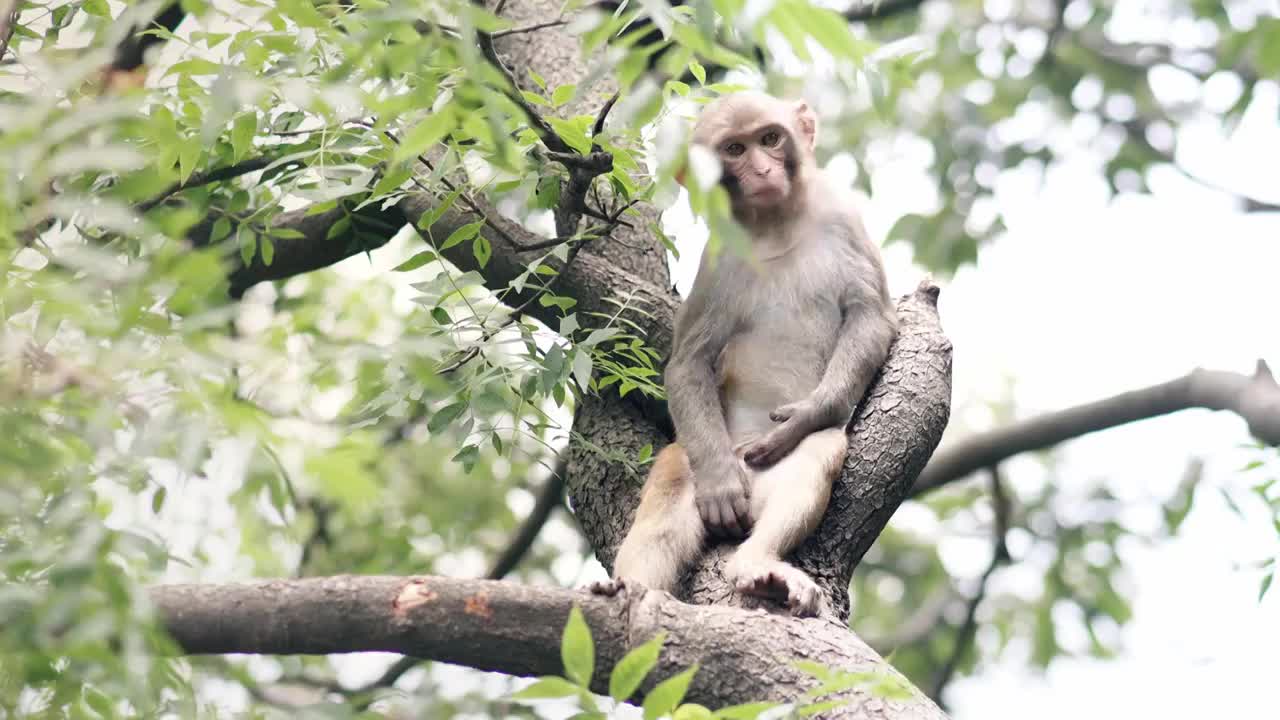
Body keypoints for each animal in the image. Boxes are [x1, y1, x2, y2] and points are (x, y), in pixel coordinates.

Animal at [586, 90, 896, 617]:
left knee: (817, 451)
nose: (763, 170)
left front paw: (807, 412)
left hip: (770, 473)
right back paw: (630, 587)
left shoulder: (842, 218)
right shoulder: (717, 261)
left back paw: (759, 564)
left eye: (770, 138)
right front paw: (718, 485)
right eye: (734, 149)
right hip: (707, 454)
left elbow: (870, 317)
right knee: (671, 488)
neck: (776, 226)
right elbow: (688, 361)